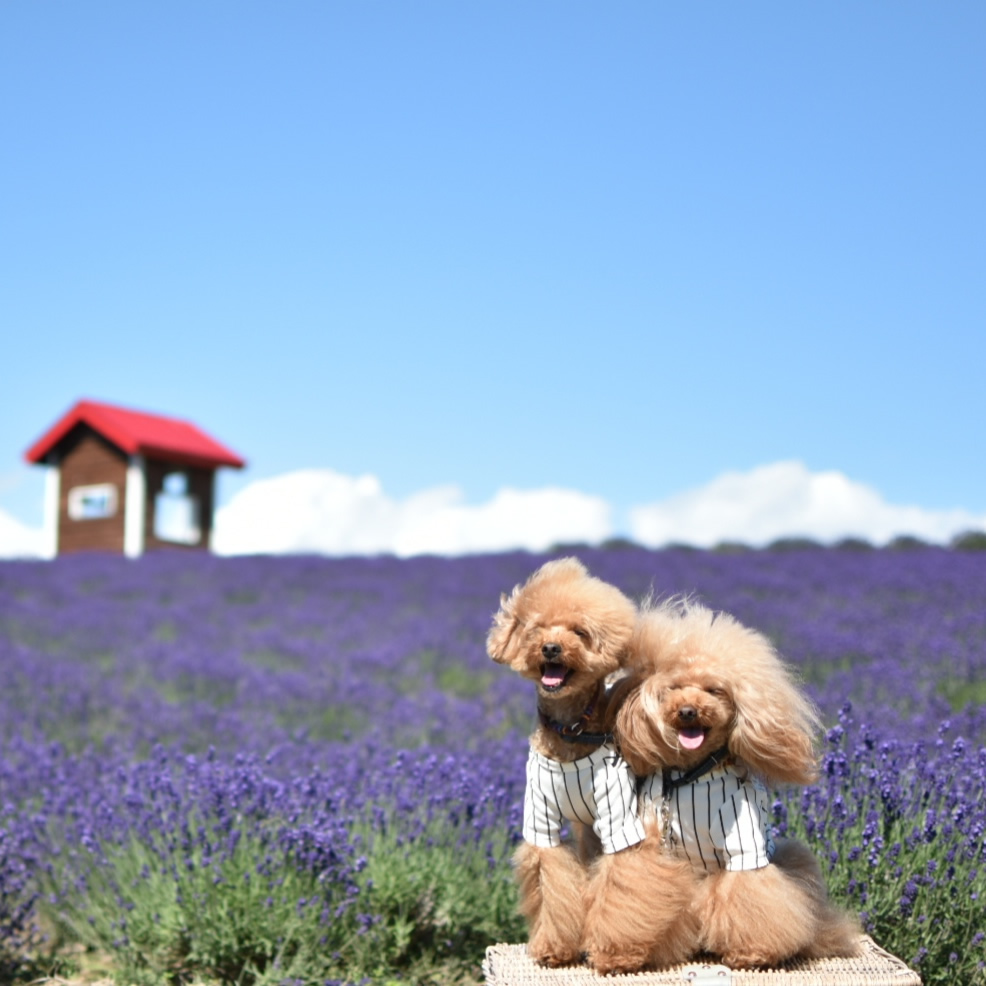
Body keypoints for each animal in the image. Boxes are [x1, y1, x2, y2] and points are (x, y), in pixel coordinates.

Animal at [488, 556, 696, 972]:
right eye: (536, 628)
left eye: (580, 632)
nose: (551, 648)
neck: (570, 732)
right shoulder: (542, 820)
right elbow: (551, 882)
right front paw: (552, 948)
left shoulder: (619, 819)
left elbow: (622, 881)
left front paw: (615, 953)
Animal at [616, 596, 860, 964]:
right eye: (674, 688)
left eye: (714, 690)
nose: (687, 711)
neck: (690, 776)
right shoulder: (654, 842)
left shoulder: (745, 846)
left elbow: (749, 896)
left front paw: (751, 952)